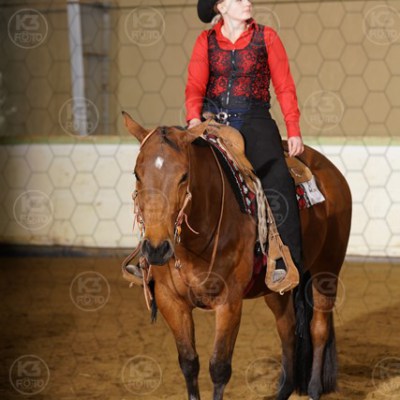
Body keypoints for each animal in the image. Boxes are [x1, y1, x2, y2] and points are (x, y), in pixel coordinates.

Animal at [122, 111, 352, 400]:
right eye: (137, 174)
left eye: (184, 176)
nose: (156, 248)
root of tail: (332, 172)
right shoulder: (170, 300)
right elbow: (189, 363)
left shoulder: (229, 301)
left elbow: (219, 367)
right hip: (277, 290)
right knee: (288, 329)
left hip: (326, 271)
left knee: (319, 328)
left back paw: (313, 390)